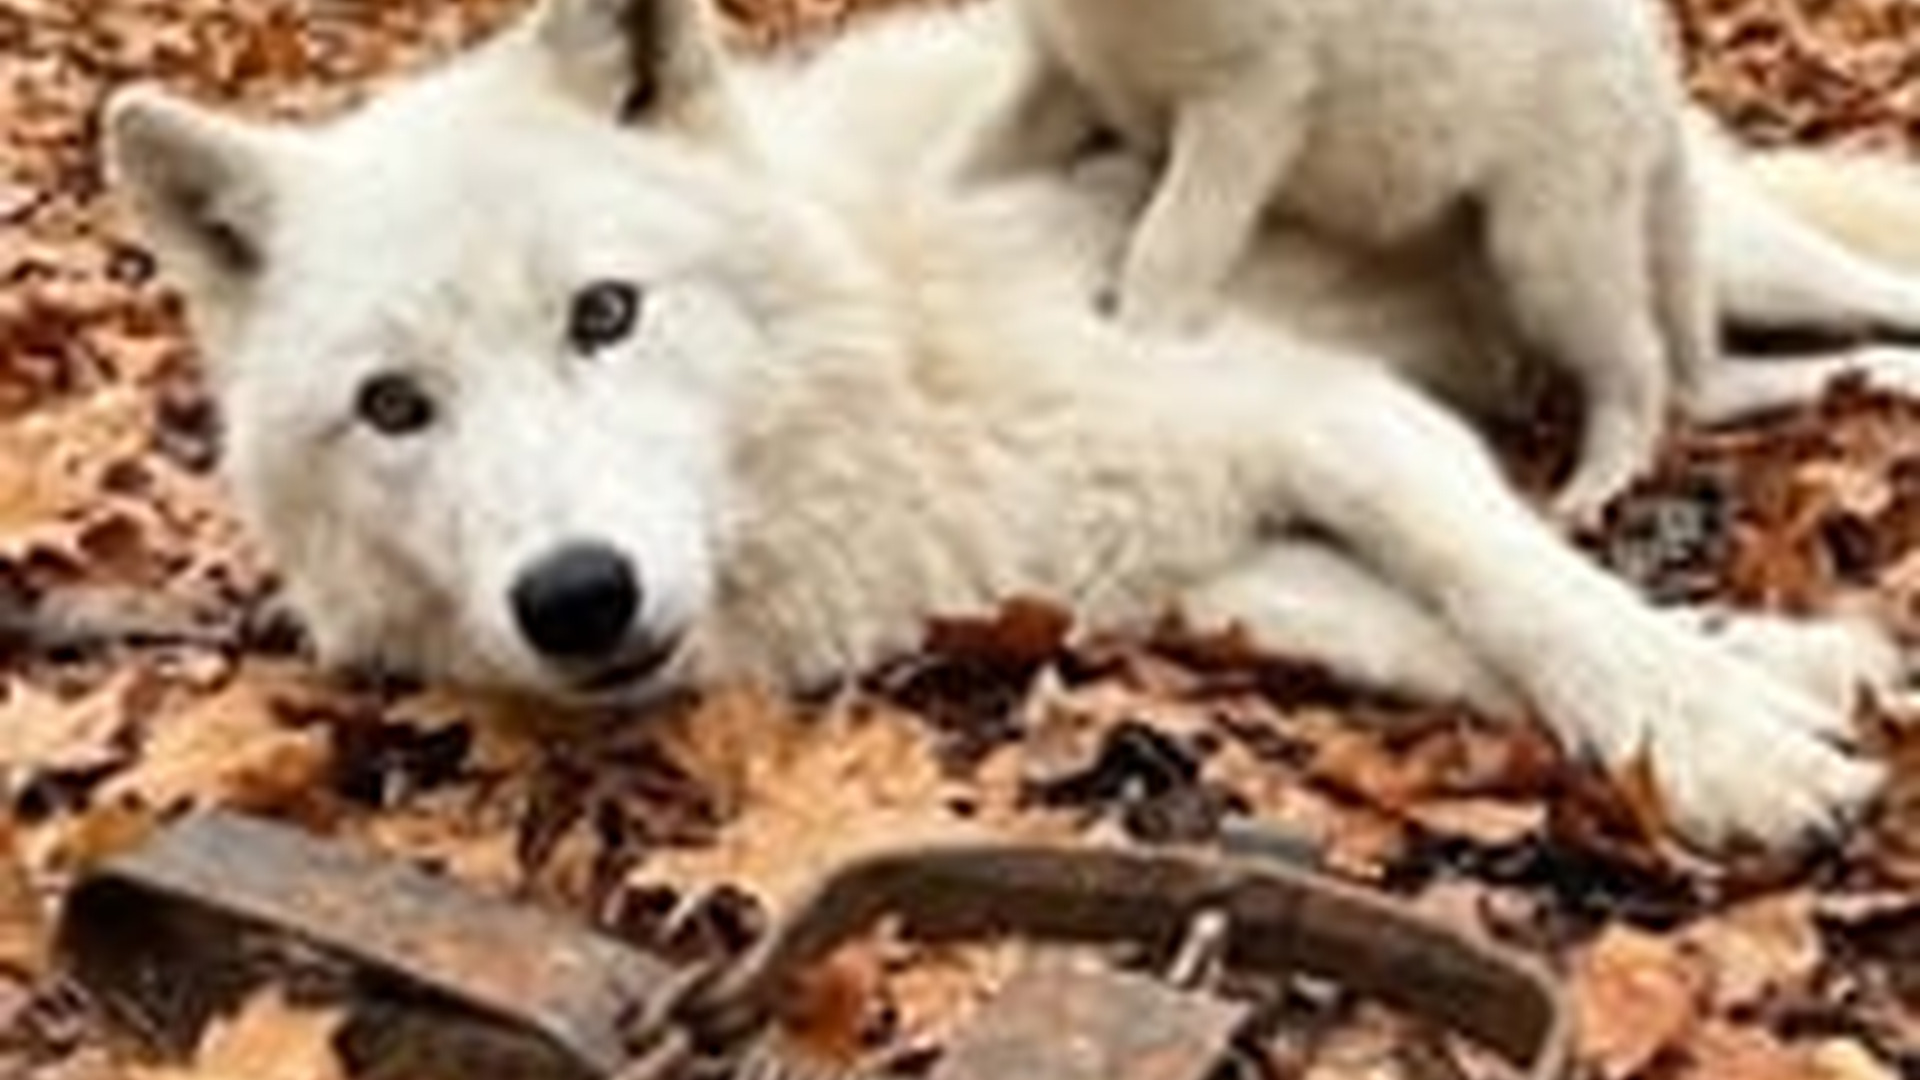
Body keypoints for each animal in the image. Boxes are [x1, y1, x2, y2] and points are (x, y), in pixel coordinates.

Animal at [959, 0, 1711, 523]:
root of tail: (1661, 75)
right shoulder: (1064, 66)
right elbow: (984, 153)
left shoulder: (1252, 97)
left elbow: (1172, 240)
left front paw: (1138, 345)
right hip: (1472, 219)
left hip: (1549, 220)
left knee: (1632, 351)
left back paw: (1597, 481)